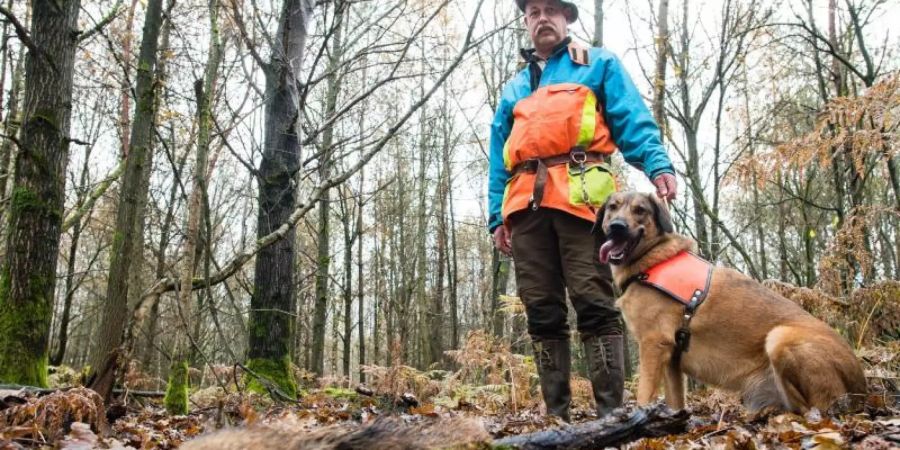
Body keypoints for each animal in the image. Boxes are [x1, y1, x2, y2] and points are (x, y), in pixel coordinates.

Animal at [596, 192, 868, 414]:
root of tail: (862, 387)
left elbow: (644, 395)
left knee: (811, 409)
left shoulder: (653, 345)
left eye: (640, 210)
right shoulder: (671, 359)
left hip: (779, 338)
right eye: (612, 207)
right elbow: (675, 401)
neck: (651, 261)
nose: (617, 227)